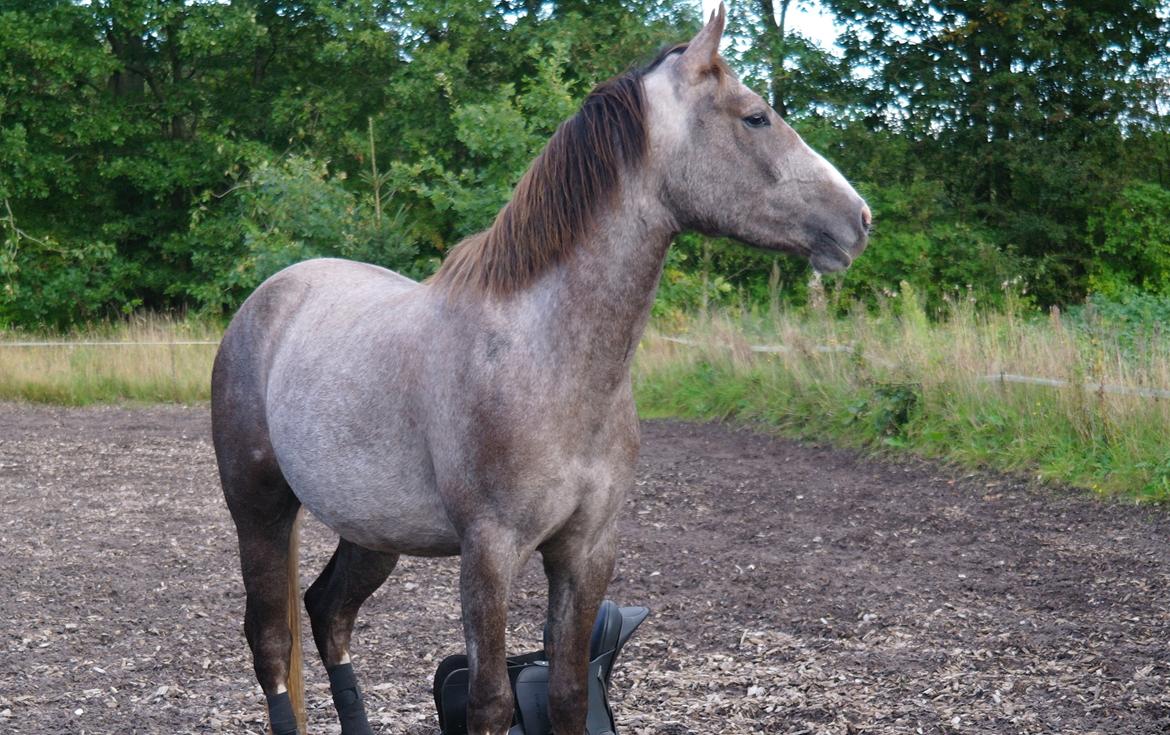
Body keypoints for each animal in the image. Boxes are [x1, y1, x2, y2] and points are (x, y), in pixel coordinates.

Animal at [210, 7, 870, 735]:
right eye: (755, 117)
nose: (858, 219)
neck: (547, 358)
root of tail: (269, 298)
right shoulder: (490, 553)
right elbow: (491, 701)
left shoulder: (587, 549)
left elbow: (566, 693)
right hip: (259, 510)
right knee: (272, 645)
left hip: (371, 531)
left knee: (329, 614)